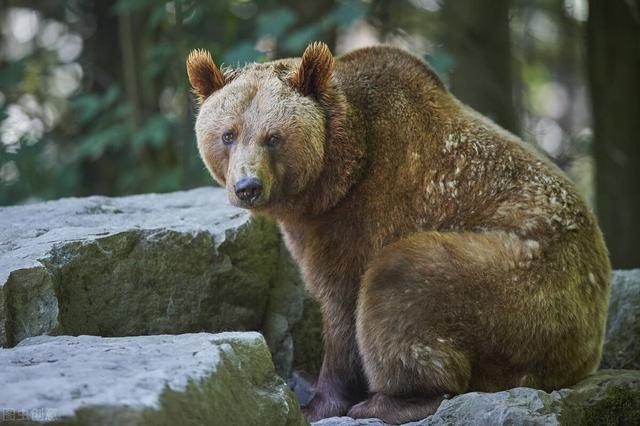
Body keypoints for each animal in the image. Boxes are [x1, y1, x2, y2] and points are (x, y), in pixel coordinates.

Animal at [185, 42, 608, 422]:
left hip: (526, 286)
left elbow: (343, 306)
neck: (339, 172)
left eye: (273, 137)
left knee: (400, 280)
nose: (248, 186)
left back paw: (390, 401)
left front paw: (318, 402)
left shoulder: (360, 216)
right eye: (228, 134)